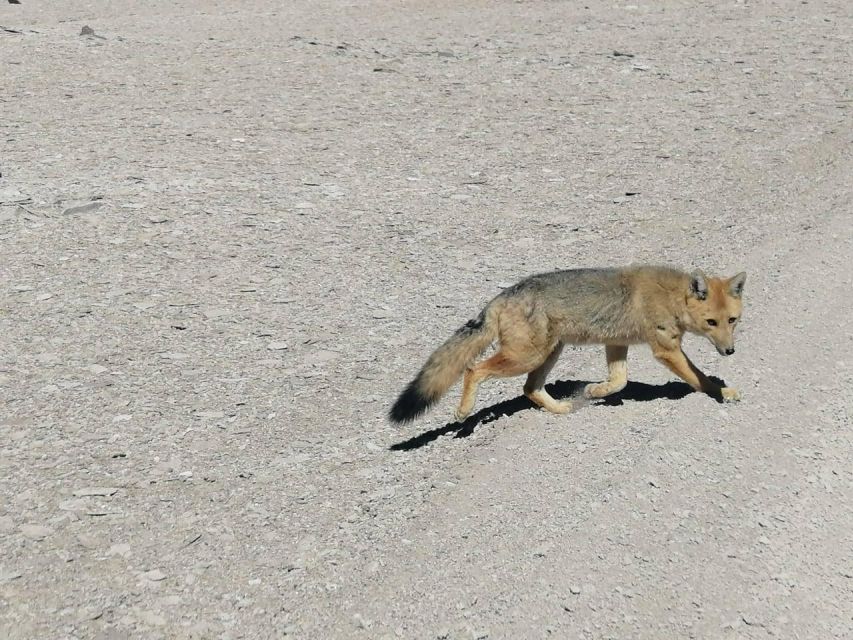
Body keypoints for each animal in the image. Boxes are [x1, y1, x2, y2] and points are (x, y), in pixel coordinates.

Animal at [388, 264, 744, 424]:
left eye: (733, 320)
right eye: (712, 323)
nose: (730, 351)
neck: (672, 297)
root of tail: (502, 296)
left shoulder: (617, 344)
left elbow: (619, 380)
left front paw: (595, 392)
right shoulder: (666, 350)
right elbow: (699, 378)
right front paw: (723, 392)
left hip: (548, 354)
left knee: (529, 389)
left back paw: (561, 408)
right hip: (527, 356)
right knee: (474, 369)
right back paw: (464, 413)